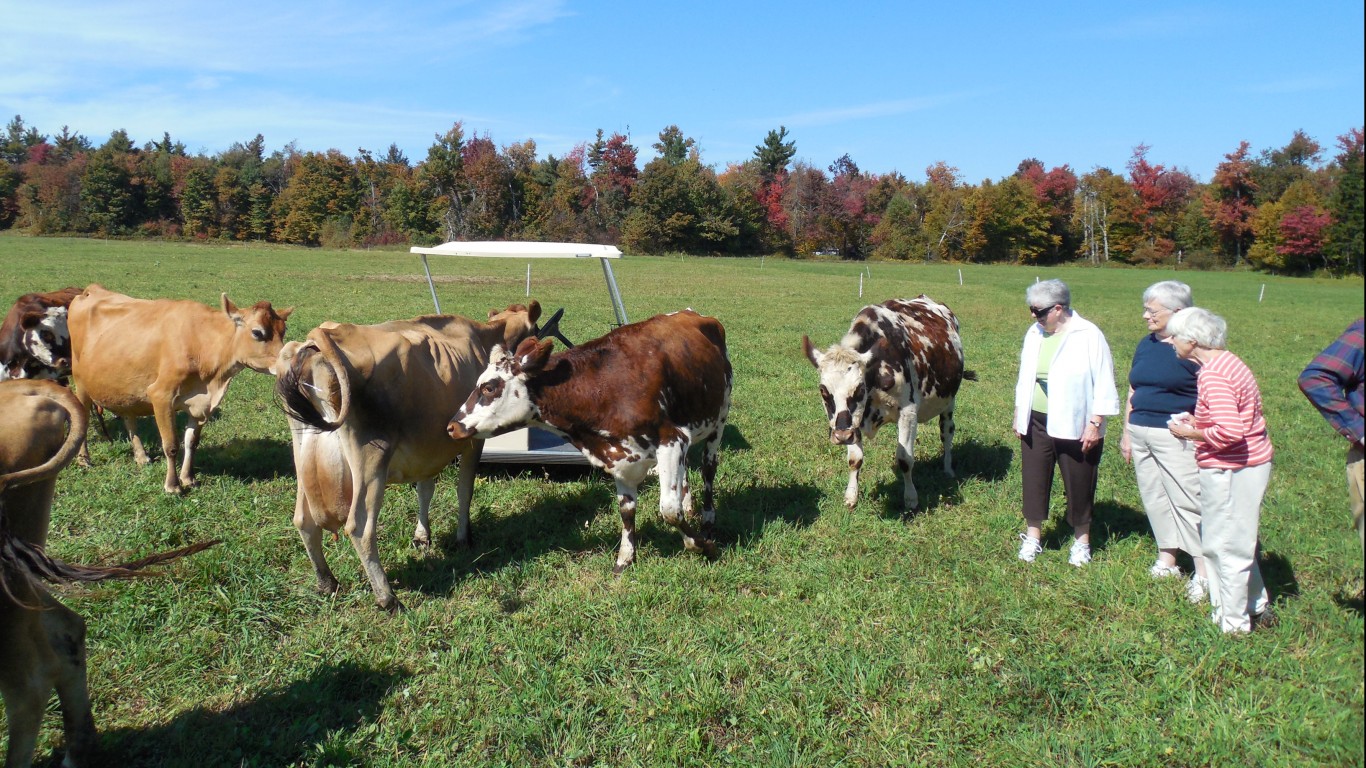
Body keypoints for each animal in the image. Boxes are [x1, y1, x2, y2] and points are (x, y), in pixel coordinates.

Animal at [66, 284, 293, 491]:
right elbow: (172, 445)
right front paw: (173, 485)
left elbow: (191, 442)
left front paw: (188, 478)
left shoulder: (202, 404)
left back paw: (141, 456)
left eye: (283, 331)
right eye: (257, 332)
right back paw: (84, 459)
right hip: (80, 382)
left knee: (129, 417)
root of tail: (91, 289)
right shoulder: (161, 395)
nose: (287, 363)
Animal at [448, 307, 732, 571]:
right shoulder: (619, 456)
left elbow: (670, 510)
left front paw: (703, 546)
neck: (604, 388)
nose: (452, 426)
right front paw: (625, 559)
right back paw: (690, 504)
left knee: (708, 468)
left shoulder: (672, 440)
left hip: (718, 421)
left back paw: (707, 518)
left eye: (489, 387)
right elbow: (626, 510)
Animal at [797, 296, 978, 511]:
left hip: (949, 403)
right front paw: (851, 496)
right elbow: (854, 460)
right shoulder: (855, 420)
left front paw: (911, 498)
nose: (841, 436)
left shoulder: (908, 413)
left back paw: (948, 469)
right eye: (823, 391)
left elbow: (905, 459)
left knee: (947, 433)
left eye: (859, 388)